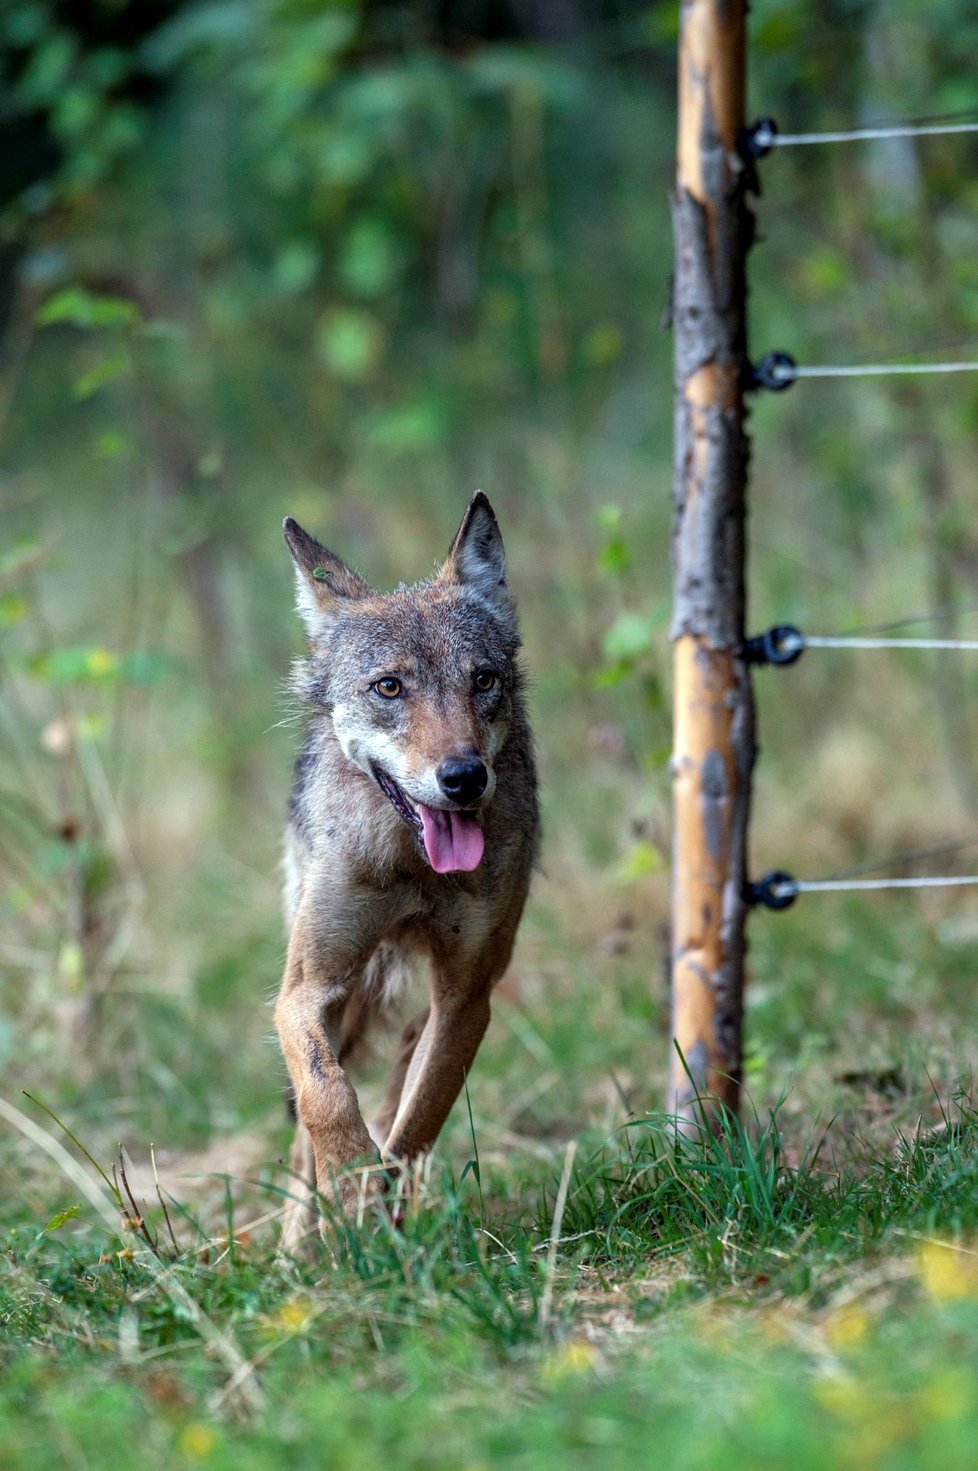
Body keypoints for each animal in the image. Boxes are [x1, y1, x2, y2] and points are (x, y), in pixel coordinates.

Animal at [275, 491, 538, 1241]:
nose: (463, 778)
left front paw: (376, 1219)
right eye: (389, 687)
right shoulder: (306, 991)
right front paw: (350, 1201)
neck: (411, 868)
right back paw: (295, 1244)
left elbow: (416, 1123)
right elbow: (328, 1099)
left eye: (483, 680)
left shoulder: (466, 999)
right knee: (302, 1143)